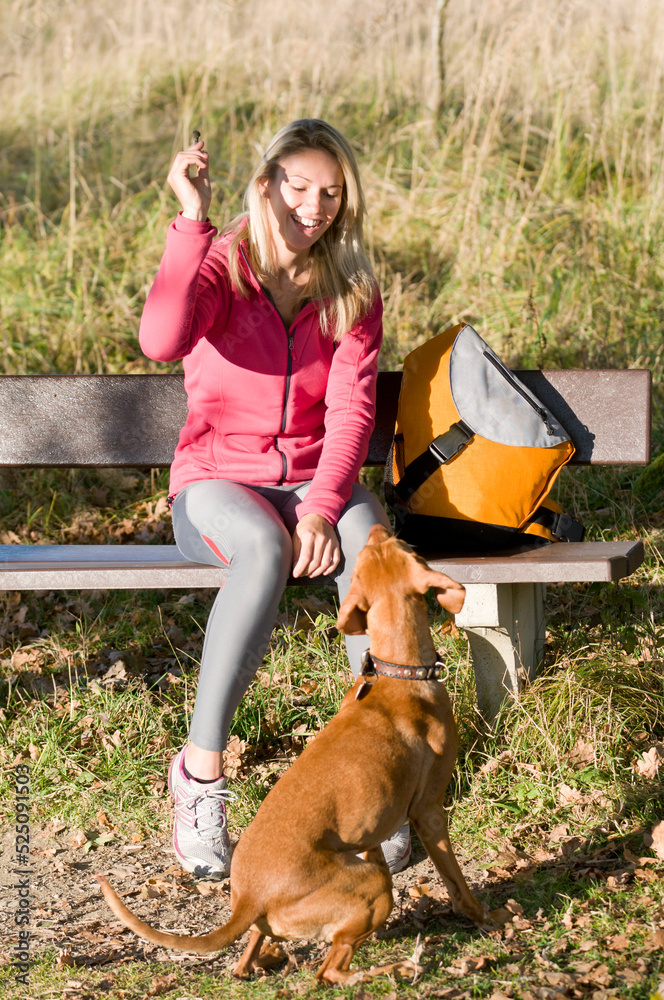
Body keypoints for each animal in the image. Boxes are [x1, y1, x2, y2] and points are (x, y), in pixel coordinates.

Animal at [97, 524, 488, 984]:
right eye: (408, 548)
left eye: (380, 549)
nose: (376, 526)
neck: (397, 675)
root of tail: (249, 898)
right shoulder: (429, 811)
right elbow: (457, 882)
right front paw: (491, 918)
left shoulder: (371, 835)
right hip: (375, 887)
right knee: (330, 971)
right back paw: (392, 967)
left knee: (249, 955)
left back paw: (267, 958)